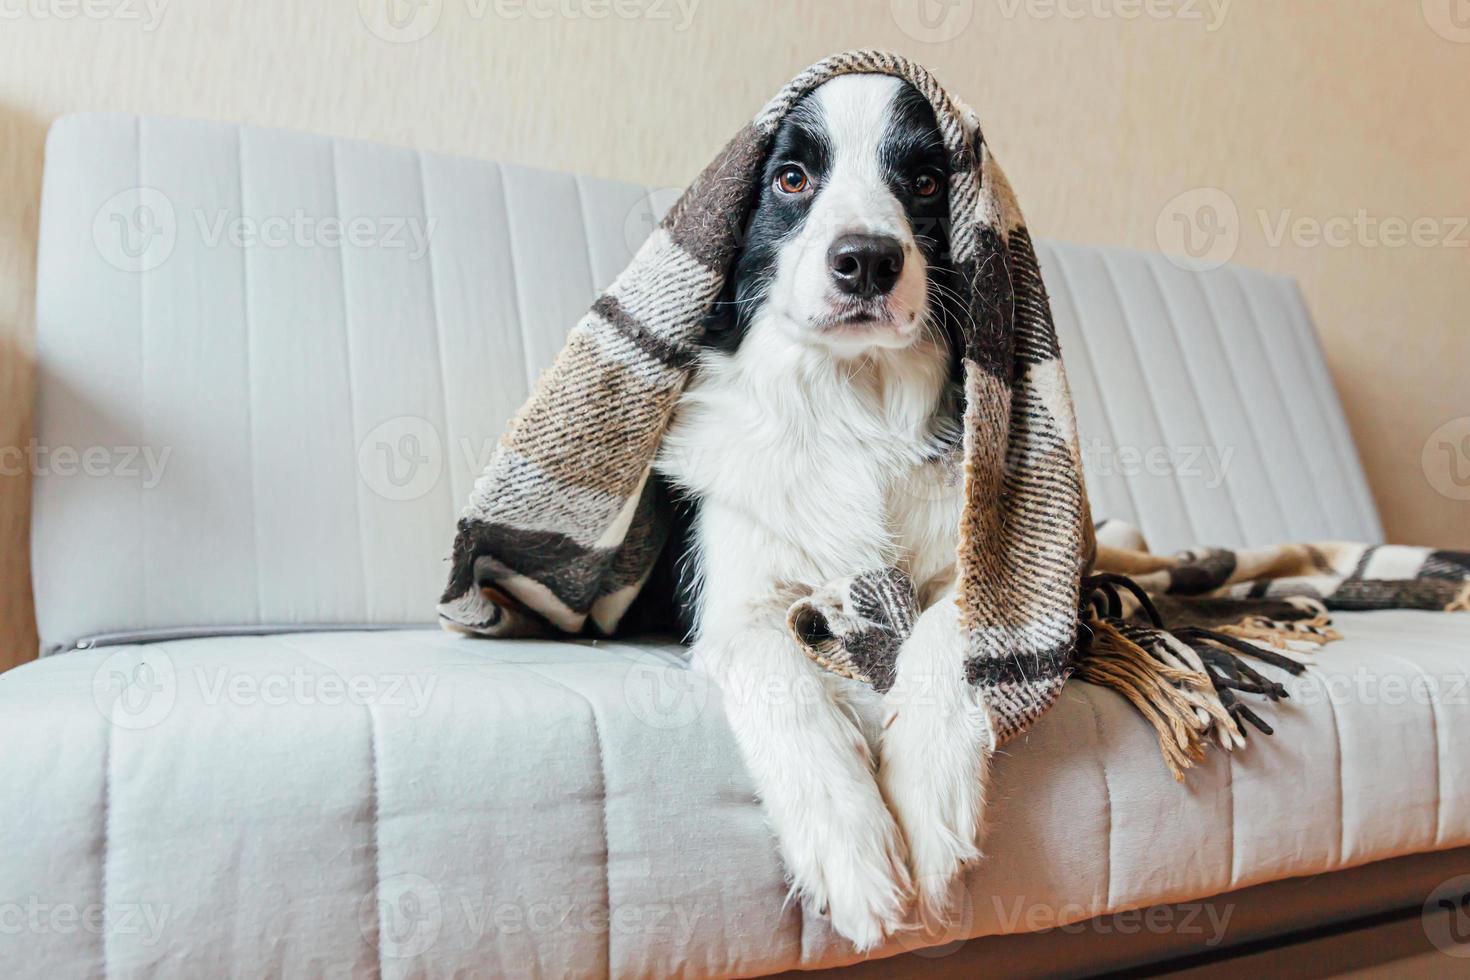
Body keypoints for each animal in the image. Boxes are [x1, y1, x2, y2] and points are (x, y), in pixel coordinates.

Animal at [658, 76, 993, 952]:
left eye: (926, 182)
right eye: (791, 178)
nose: (867, 261)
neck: (855, 402)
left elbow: (952, 627)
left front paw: (927, 798)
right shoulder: (732, 603)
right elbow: (778, 671)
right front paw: (853, 851)